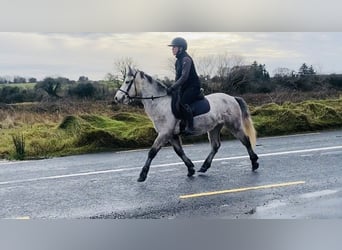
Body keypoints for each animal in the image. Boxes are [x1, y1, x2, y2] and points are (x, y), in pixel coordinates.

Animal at [115, 66, 260, 182]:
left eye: (127, 81)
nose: (117, 98)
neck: (160, 103)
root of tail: (232, 98)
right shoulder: (171, 135)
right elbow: (179, 151)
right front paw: (190, 168)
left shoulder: (164, 134)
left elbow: (152, 152)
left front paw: (142, 175)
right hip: (214, 127)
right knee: (215, 146)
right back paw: (204, 167)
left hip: (234, 125)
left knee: (246, 140)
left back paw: (254, 163)